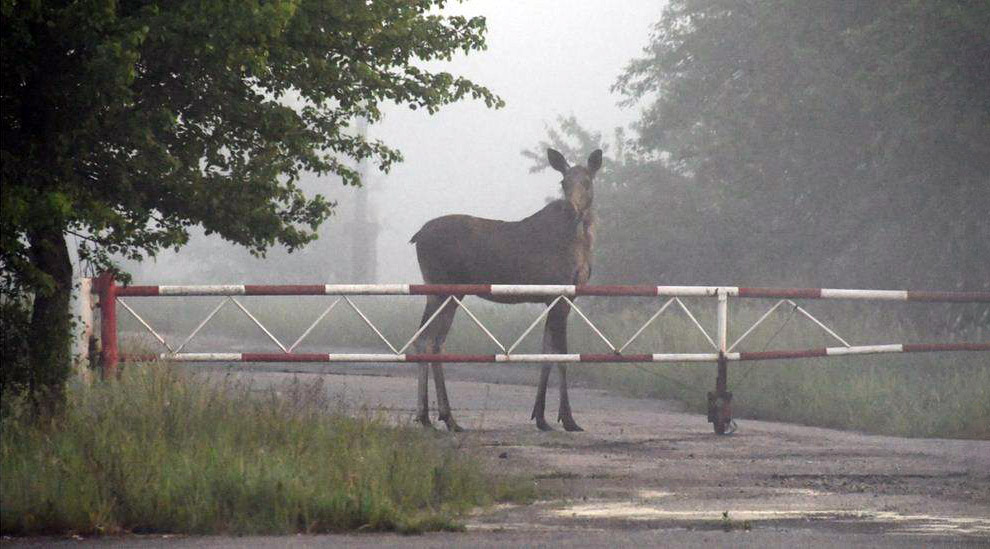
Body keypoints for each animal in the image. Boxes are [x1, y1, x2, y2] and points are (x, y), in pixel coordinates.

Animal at [410, 148, 604, 430]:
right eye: (563, 182)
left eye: (587, 181)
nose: (571, 208)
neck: (581, 243)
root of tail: (416, 236)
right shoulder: (560, 294)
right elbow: (562, 354)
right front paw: (567, 418)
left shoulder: (558, 297)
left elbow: (546, 351)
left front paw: (540, 415)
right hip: (441, 288)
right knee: (427, 340)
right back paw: (438, 416)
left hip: (449, 293)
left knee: (430, 341)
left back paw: (435, 416)